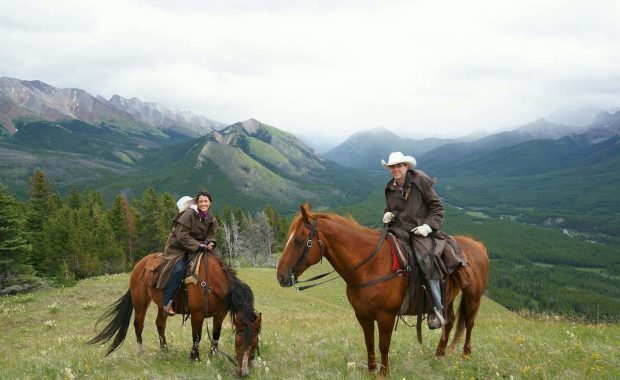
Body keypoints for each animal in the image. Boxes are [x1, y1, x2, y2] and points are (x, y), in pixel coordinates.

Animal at [88, 252, 262, 378]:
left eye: (254, 344)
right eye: (238, 342)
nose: (244, 373)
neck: (213, 281)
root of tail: (140, 264)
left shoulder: (220, 315)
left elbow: (215, 337)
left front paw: (212, 356)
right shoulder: (197, 314)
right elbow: (197, 337)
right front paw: (195, 358)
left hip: (162, 305)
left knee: (160, 324)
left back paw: (165, 352)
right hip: (140, 302)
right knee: (139, 325)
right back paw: (141, 353)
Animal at [278, 205, 490, 374]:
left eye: (298, 241)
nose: (281, 276)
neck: (370, 266)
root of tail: (478, 245)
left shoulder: (386, 316)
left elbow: (383, 344)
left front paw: (383, 372)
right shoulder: (362, 316)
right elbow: (369, 342)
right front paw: (371, 371)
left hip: (473, 297)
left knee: (469, 323)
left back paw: (466, 356)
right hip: (448, 298)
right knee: (449, 321)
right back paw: (438, 356)